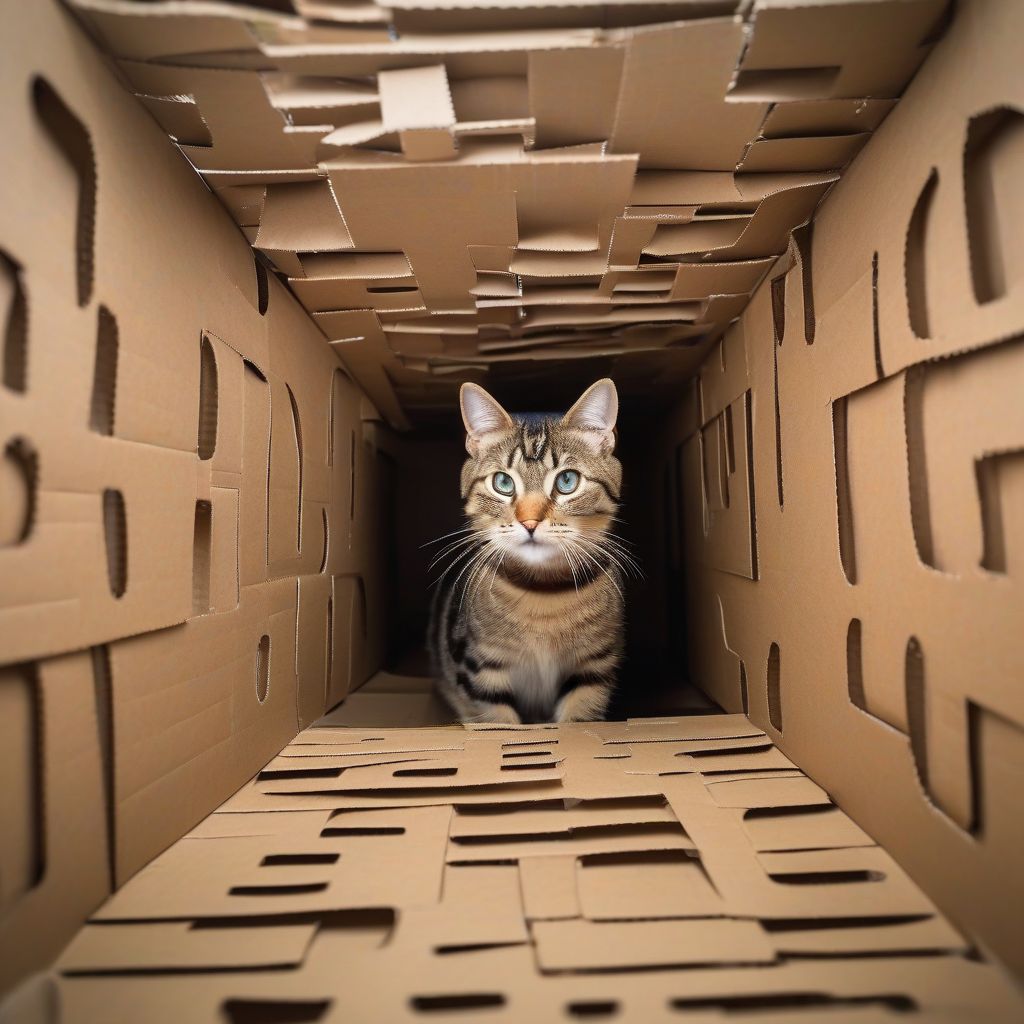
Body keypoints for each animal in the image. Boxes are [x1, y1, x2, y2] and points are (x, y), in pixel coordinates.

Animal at [425, 380, 630, 724]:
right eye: (503, 482)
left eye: (567, 480)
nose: (529, 522)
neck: (544, 592)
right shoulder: (479, 671)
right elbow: (498, 723)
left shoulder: (594, 668)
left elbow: (578, 720)